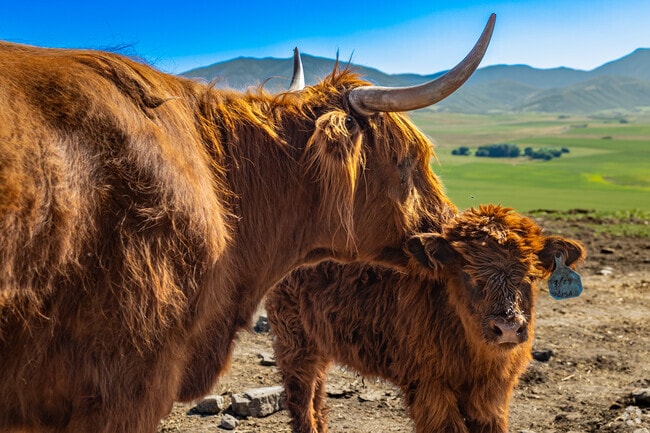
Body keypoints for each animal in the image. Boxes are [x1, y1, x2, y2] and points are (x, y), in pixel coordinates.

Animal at [267, 205, 586, 433]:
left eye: (530, 275)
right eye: (468, 273)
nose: (507, 328)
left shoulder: (493, 391)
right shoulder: (430, 388)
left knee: (317, 391)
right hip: (293, 338)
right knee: (300, 394)